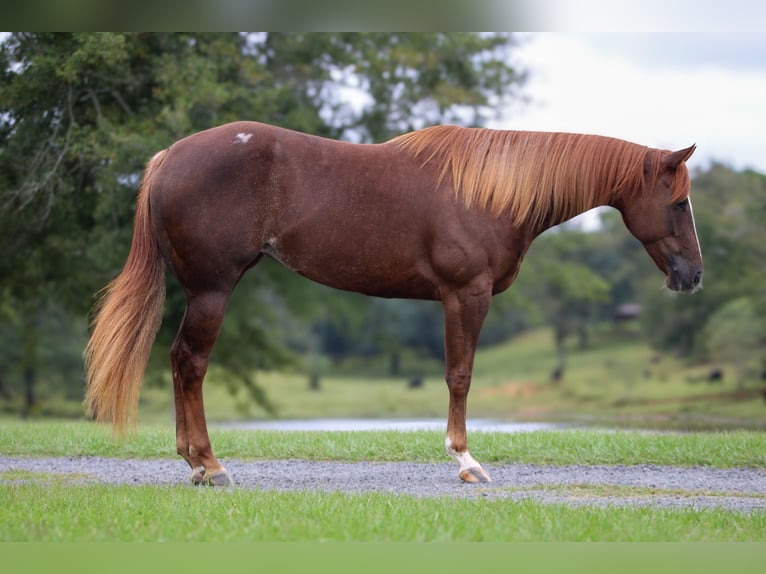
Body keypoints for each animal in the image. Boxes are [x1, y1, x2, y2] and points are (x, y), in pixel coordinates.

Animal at [84, 121, 704, 486]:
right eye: (678, 203)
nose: (693, 276)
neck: (490, 193)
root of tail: (169, 157)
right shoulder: (465, 295)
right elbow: (460, 375)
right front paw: (466, 461)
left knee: (179, 362)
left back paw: (194, 462)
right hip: (212, 290)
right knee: (191, 363)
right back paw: (210, 465)